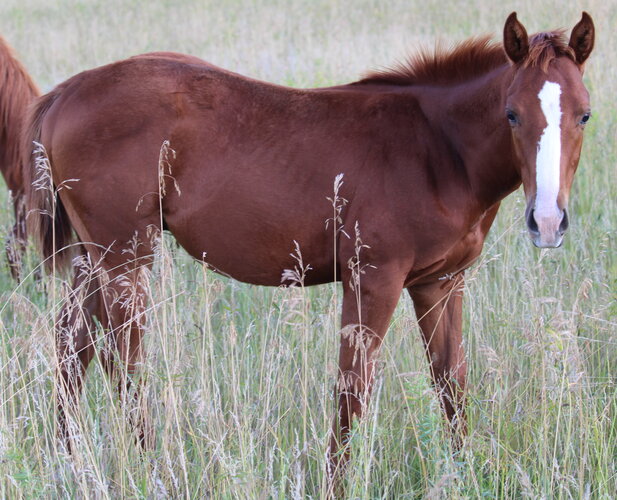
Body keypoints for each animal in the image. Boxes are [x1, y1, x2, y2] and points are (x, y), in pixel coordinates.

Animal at [22, 12, 592, 476]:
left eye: (585, 114)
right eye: (512, 114)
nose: (547, 221)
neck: (436, 148)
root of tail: (64, 92)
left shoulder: (440, 283)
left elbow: (451, 386)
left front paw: (468, 476)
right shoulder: (373, 279)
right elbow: (352, 391)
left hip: (96, 259)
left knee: (71, 347)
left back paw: (65, 464)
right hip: (125, 257)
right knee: (125, 363)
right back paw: (151, 468)